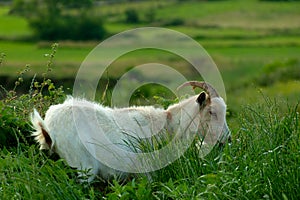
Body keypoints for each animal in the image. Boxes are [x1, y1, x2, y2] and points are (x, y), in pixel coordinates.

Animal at [31, 81, 230, 181]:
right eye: (211, 112)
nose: (227, 139)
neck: (168, 124)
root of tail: (48, 129)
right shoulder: (147, 171)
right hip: (83, 167)